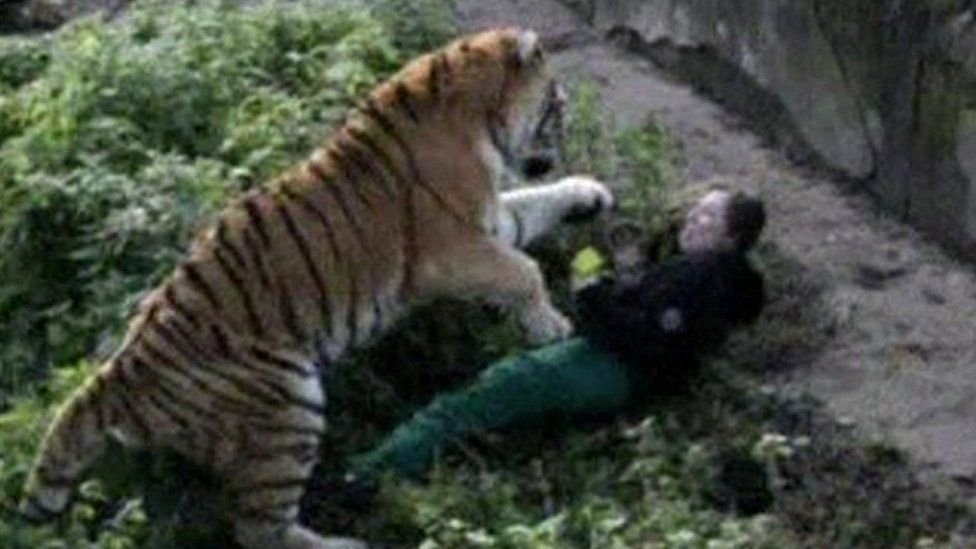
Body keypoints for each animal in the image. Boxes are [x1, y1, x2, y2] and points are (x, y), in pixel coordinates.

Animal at [19, 28, 612, 548]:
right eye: (557, 107)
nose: (561, 143)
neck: (476, 111)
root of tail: (122, 370)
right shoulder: (447, 253)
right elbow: (523, 271)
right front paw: (550, 325)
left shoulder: (488, 223)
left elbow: (533, 207)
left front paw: (590, 193)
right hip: (289, 406)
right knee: (258, 530)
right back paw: (344, 543)